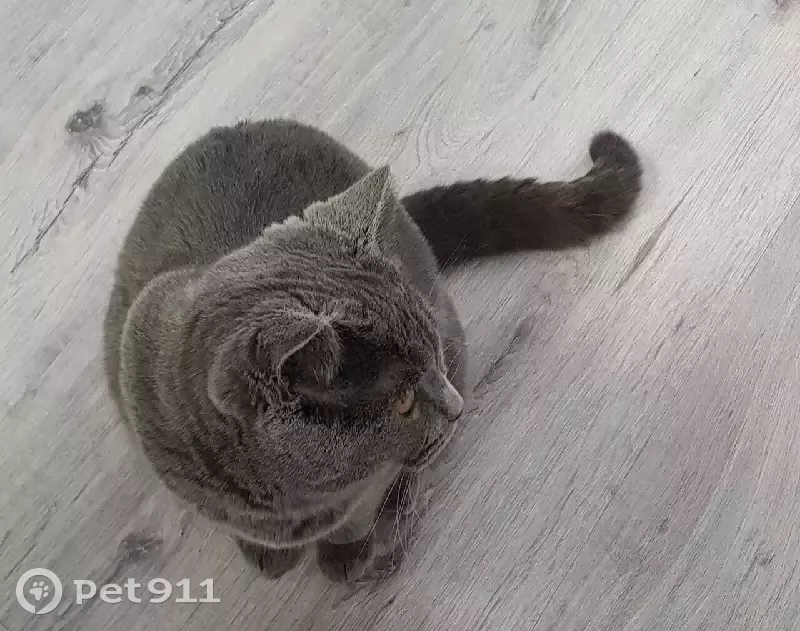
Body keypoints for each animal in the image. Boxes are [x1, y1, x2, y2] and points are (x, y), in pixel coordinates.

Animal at [103, 119, 641, 582]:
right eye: (402, 402)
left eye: (433, 357)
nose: (454, 407)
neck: (292, 502)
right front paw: (266, 552)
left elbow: (361, 509)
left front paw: (345, 550)